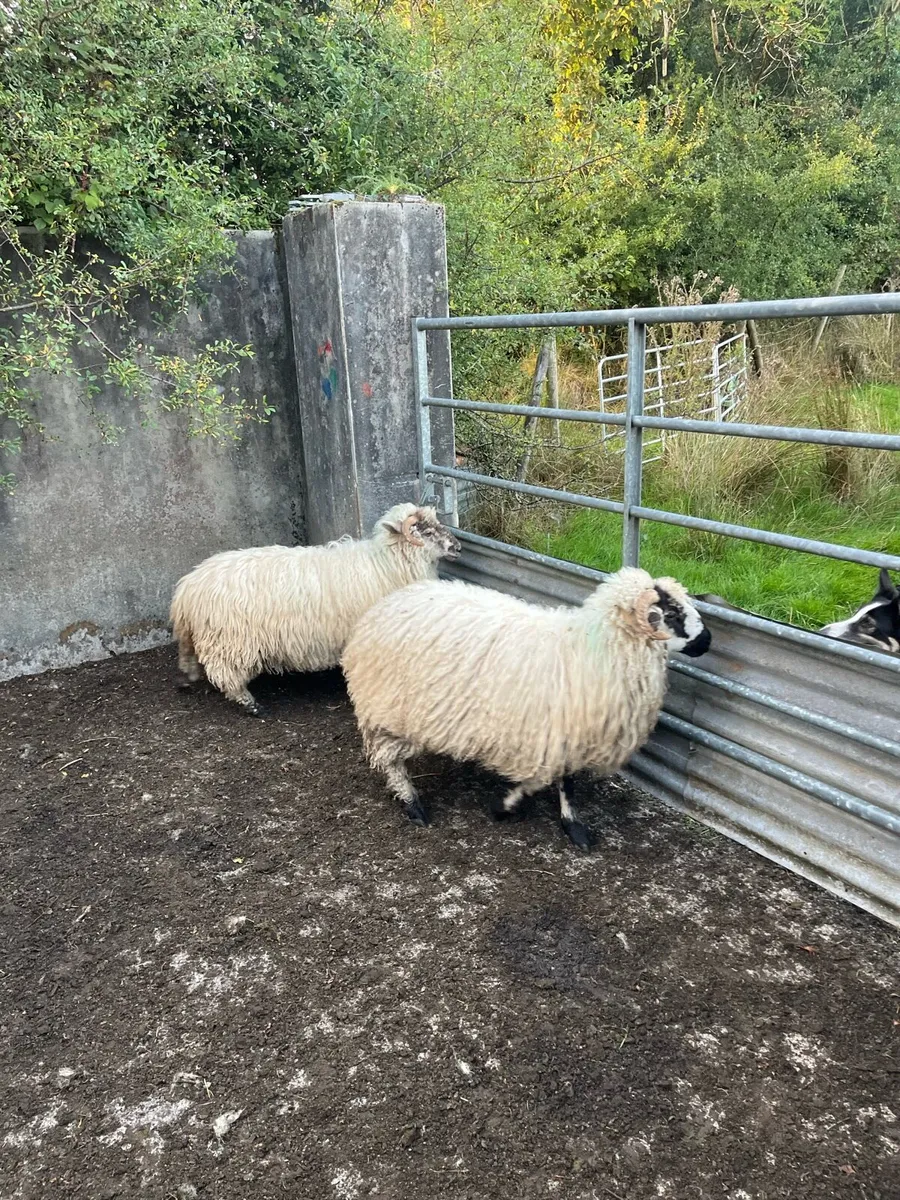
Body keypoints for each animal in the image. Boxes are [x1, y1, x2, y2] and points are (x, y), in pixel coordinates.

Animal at [171, 503, 460, 715]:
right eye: (426, 532)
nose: (458, 546)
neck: (387, 564)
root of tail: (188, 586)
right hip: (230, 642)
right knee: (225, 674)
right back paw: (249, 703)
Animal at [342, 565, 710, 849]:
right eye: (672, 613)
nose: (708, 641)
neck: (592, 649)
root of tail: (385, 604)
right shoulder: (541, 737)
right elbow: (535, 781)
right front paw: (502, 807)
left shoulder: (566, 734)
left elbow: (567, 784)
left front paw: (573, 828)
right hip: (388, 709)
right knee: (390, 760)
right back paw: (413, 805)